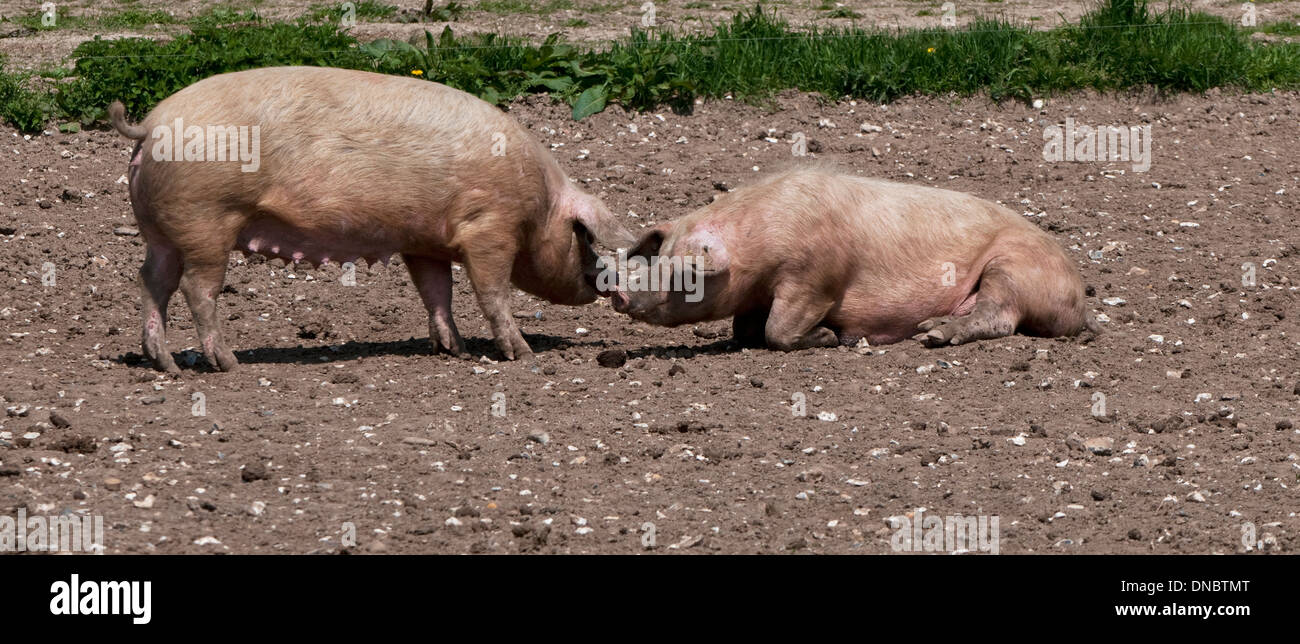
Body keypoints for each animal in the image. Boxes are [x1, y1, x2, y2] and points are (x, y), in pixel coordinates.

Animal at [110, 65, 634, 372]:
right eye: (584, 236)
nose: (613, 286)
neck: (539, 205)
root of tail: (150, 124)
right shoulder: (489, 228)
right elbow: (492, 293)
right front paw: (521, 354)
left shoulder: (424, 242)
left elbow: (436, 293)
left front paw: (453, 350)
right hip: (206, 221)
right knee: (198, 289)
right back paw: (228, 363)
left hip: (162, 233)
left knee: (151, 281)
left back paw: (164, 364)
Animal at [608, 166, 1097, 348]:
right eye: (659, 258)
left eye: (686, 273)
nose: (618, 294)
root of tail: (1080, 303)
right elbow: (746, 329)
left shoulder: (812, 279)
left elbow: (777, 330)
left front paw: (831, 337)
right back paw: (930, 326)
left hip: (1012, 266)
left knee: (1001, 317)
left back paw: (932, 336)